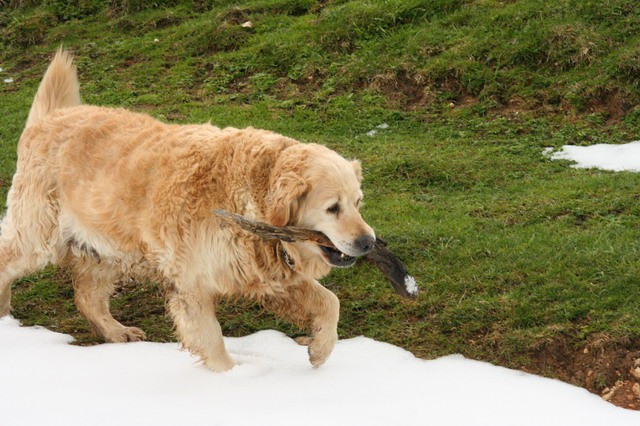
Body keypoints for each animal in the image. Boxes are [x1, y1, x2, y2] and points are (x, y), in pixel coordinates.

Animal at [0, 49, 376, 370]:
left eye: (358, 203)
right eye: (333, 208)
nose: (369, 242)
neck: (248, 195)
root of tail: (51, 116)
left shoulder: (269, 277)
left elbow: (330, 302)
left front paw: (320, 349)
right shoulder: (192, 285)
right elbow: (213, 343)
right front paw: (233, 381)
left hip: (109, 248)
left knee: (87, 297)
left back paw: (117, 331)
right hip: (37, 237)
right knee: (8, 261)